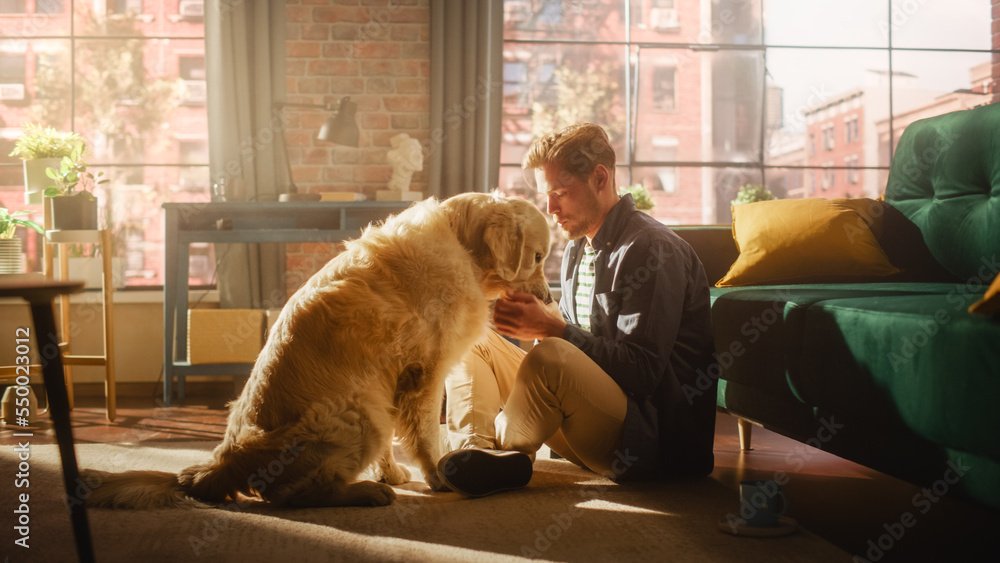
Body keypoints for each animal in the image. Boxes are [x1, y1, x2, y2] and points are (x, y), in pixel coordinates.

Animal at [84, 192, 556, 508]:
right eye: (538, 256)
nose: (551, 298)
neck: (463, 244)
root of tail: (225, 460)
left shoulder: (388, 380)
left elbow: (401, 438)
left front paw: (395, 471)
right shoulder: (424, 372)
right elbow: (425, 434)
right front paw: (438, 476)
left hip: (369, 405)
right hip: (357, 414)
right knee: (292, 494)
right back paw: (365, 492)